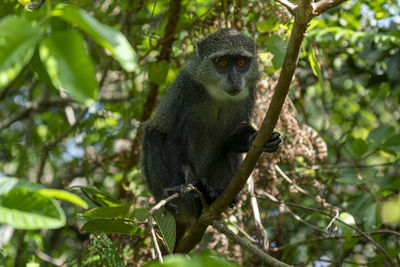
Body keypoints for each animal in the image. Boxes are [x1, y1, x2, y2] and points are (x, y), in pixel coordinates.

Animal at [141, 28, 282, 244]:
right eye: (223, 63)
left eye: (241, 63)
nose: (235, 80)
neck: (218, 93)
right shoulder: (186, 88)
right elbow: (176, 138)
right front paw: (179, 185)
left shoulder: (248, 93)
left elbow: (233, 136)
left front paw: (257, 138)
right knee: (153, 135)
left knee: (229, 151)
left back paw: (211, 195)